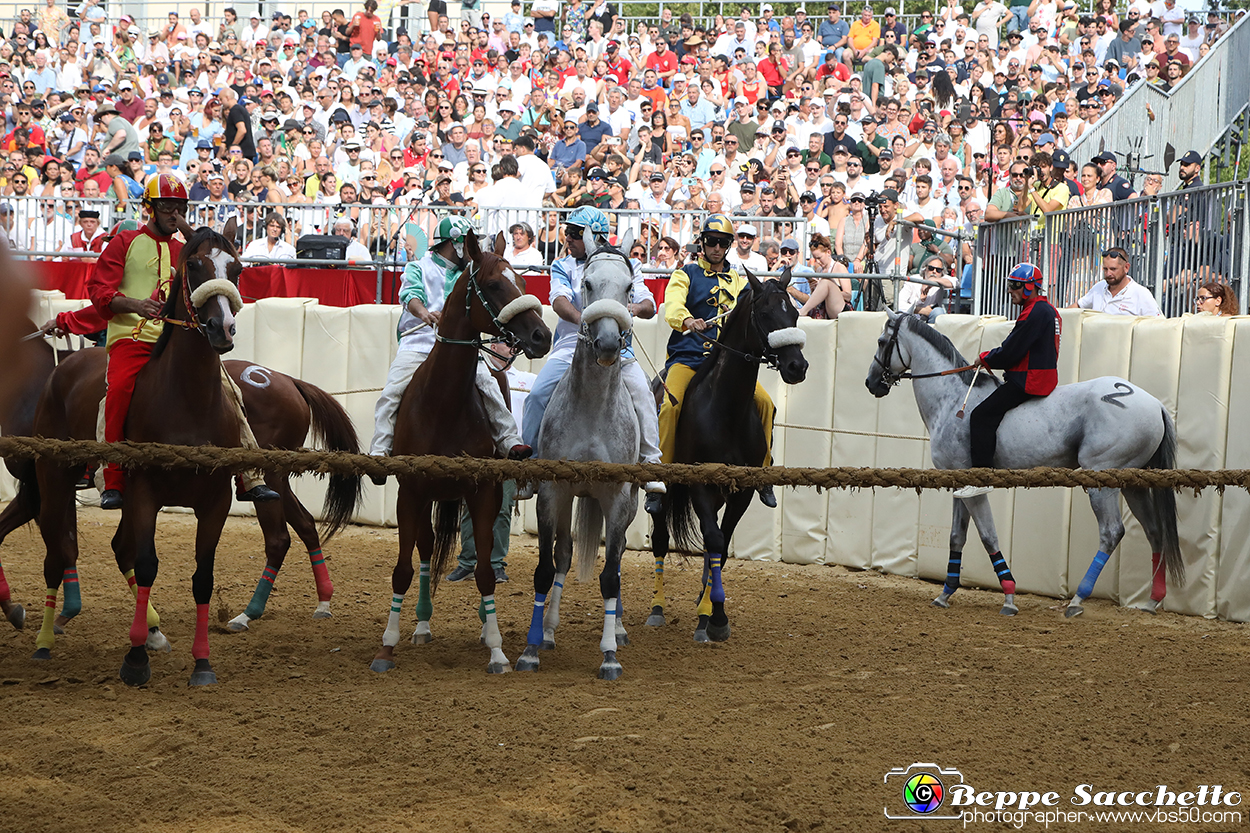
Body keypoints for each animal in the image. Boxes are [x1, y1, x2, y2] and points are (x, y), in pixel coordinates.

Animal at [31, 217, 250, 685]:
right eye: (195, 266)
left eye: (237, 270)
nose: (222, 329)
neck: (188, 401)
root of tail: (66, 364)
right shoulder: (144, 492)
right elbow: (147, 563)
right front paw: (134, 661)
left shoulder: (216, 501)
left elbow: (202, 577)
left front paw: (201, 663)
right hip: (55, 478)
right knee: (58, 555)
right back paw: (44, 641)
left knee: (118, 548)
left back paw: (151, 631)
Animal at [367, 230, 550, 670]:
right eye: (495, 285)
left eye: (523, 280)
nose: (542, 336)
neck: (443, 403)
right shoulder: (410, 493)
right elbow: (403, 569)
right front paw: (387, 645)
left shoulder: (483, 492)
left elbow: (485, 571)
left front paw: (497, 648)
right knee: (426, 550)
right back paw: (421, 625)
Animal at [515, 225, 640, 675]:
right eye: (587, 284)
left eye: (629, 287)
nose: (607, 344)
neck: (591, 409)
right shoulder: (554, 491)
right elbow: (546, 567)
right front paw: (531, 649)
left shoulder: (617, 498)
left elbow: (611, 575)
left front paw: (609, 655)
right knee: (565, 555)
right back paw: (549, 631)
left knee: (617, 557)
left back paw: (618, 629)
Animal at [645, 272, 810, 640]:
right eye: (765, 313)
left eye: (794, 313)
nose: (797, 366)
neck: (725, 408)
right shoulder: (699, 486)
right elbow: (714, 538)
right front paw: (715, 616)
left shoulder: (741, 491)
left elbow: (722, 541)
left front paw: (711, 612)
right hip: (665, 491)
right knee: (661, 538)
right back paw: (657, 608)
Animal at [865, 311, 1185, 615]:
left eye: (881, 342)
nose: (871, 382)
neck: (953, 400)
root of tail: (1154, 403)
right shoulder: (959, 484)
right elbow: (957, 536)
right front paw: (946, 593)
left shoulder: (974, 488)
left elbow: (988, 536)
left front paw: (1008, 595)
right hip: (1133, 484)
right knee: (1155, 532)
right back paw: (1153, 600)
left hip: (1101, 482)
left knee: (1112, 532)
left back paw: (1078, 599)